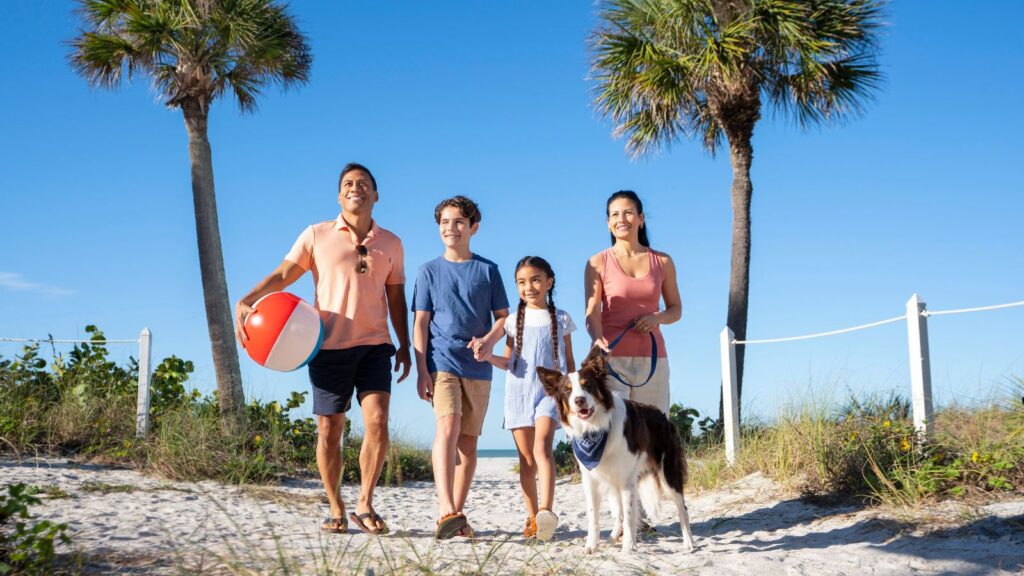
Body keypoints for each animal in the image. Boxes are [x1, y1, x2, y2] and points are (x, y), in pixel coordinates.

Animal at [536, 344, 696, 553]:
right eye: (566, 390)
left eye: (588, 385)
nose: (579, 401)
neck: (595, 427)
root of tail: (664, 417)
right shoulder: (590, 478)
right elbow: (594, 516)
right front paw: (591, 545)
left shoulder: (627, 478)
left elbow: (628, 515)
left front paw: (629, 548)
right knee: (617, 512)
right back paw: (612, 538)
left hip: (667, 472)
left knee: (681, 507)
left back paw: (689, 542)